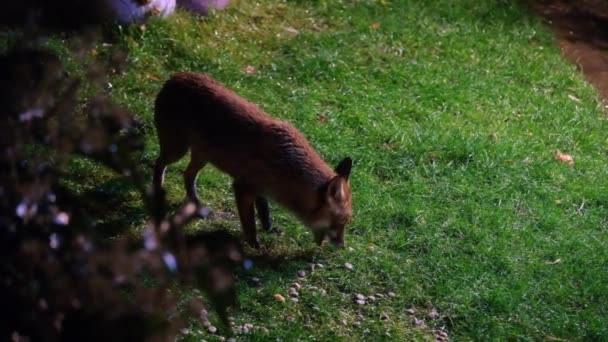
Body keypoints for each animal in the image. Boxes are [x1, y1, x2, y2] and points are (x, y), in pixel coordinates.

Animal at [152, 73, 354, 248]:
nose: (342, 246)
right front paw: (255, 246)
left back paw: (195, 204)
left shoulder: (261, 190)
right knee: (158, 164)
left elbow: (264, 212)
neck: (288, 169)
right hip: (177, 150)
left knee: (187, 175)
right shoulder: (242, 187)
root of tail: (176, 76)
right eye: (342, 221)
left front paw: (269, 230)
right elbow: (249, 223)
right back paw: (157, 192)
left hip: (203, 157)